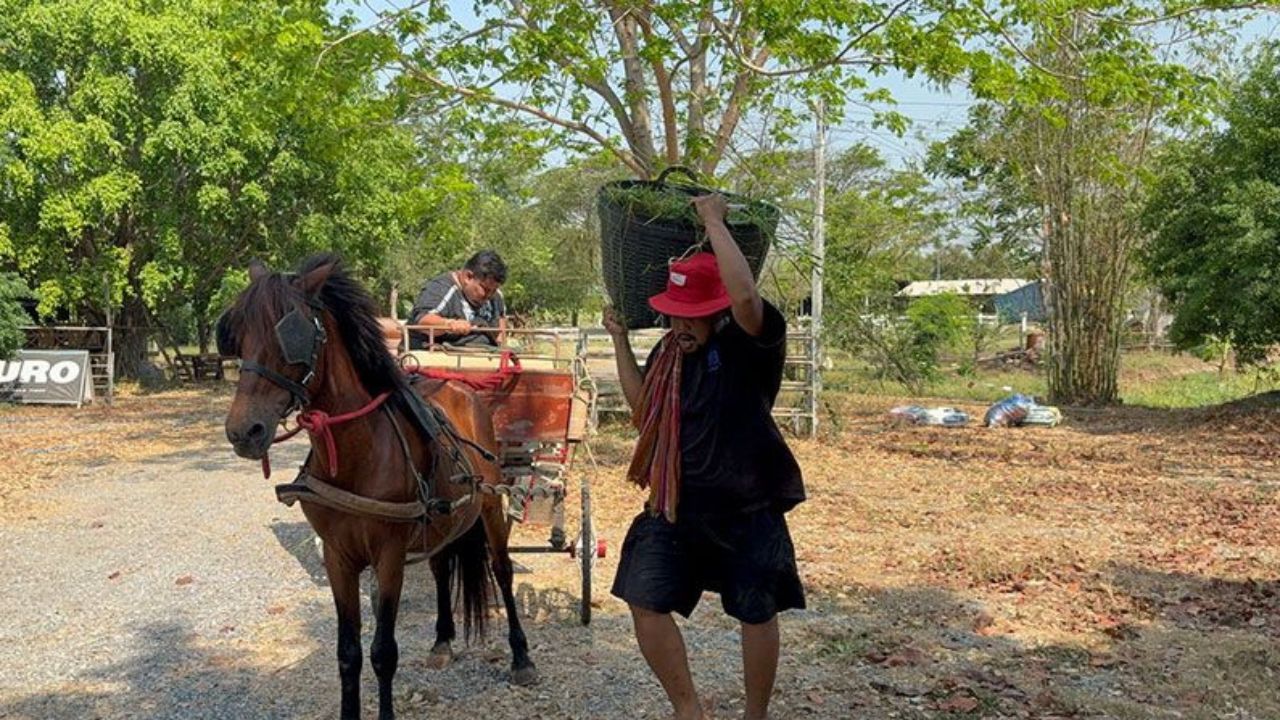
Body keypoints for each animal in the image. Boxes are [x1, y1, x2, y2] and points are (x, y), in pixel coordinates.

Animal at [216, 254, 537, 719]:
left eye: (291, 332)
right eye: (237, 334)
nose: (244, 431)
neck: (356, 453)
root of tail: (462, 387)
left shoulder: (388, 556)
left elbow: (384, 652)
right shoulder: (338, 557)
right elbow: (347, 654)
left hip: (492, 507)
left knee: (502, 571)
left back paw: (521, 656)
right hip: (440, 523)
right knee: (442, 567)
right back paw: (443, 640)